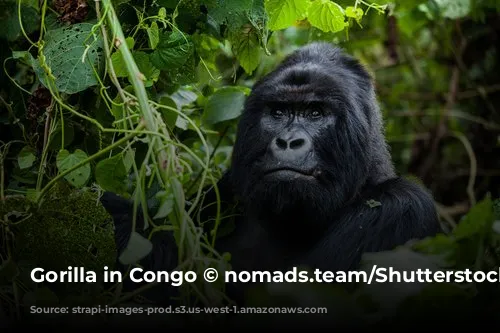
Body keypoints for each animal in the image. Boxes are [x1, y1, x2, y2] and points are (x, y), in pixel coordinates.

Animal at [100, 42, 442, 310]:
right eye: (278, 112)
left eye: (315, 113)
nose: (288, 141)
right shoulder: (228, 190)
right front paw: (118, 218)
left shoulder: (400, 210)